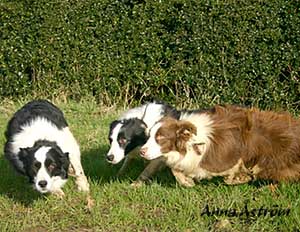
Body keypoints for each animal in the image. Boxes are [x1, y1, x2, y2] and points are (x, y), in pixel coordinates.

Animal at [141, 105, 300, 187]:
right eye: (149, 136)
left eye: (160, 138)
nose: (142, 151)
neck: (192, 141)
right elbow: (175, 169)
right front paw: (186, 181)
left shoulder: (225, 158)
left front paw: (237, 178)